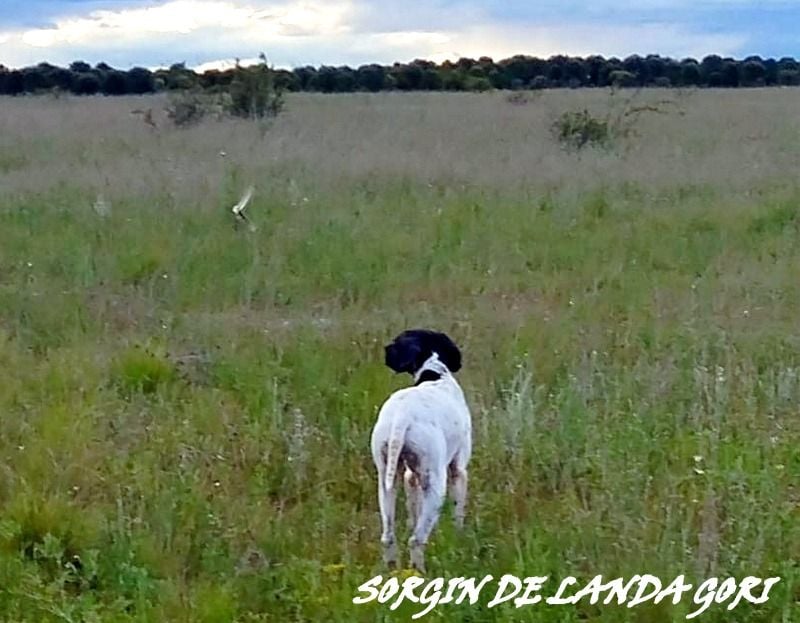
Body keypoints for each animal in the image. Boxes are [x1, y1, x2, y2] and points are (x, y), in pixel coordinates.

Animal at [372, 332, 472, 572]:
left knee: (388, 537)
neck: (435, 373)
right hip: (436, 483)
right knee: (416, 540)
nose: (385, 350)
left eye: (398, 341)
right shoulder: (459, 470)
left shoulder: (410, 476)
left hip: (386, 482)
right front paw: (459, 538)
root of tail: (403, 414)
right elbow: (458, 513)